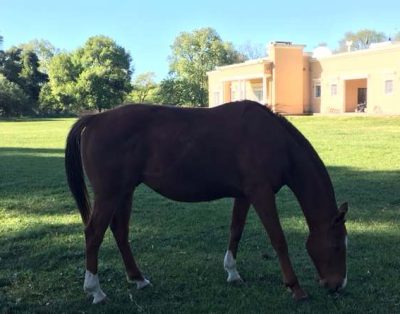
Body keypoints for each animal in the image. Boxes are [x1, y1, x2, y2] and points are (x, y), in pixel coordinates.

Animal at [65, 99, 346, 302]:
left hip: (124, 192)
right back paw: (96, 291)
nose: (337, 285)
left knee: (120, 232)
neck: (273, 139)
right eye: (336, 246)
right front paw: (295, 287)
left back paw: (138, 278)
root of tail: (96, 118)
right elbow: (278, 239)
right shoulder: (262, 194)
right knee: (94, 234)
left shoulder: (244, 195)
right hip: (109, 194)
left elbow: (236, 231)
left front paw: (232, 272)